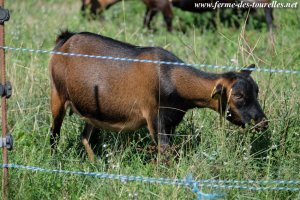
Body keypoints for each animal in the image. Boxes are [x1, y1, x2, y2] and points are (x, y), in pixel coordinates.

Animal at [48, 30, 268, 161]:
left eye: (257, 90)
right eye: (238, 95)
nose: (262, 122)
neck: (171, 76)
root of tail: (65, 39)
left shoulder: (171, 121)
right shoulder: (154, 116)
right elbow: (165, 151)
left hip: (91, 109)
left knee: (84, 136)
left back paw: (96, 164)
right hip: (57, 95)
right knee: (54, 133)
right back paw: (54, 159)